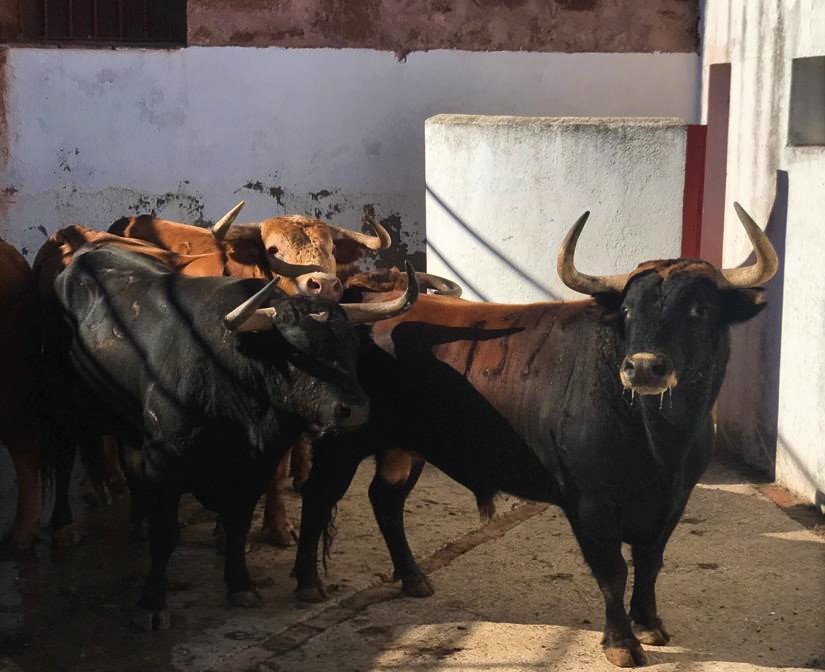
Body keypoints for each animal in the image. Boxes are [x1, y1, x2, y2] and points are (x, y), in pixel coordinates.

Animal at [38, 243, 418, 628]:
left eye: (352, 347)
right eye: (296, 350)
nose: (355, 410)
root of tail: (83, 255)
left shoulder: (255, 466)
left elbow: (239, 522)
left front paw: (240, 584)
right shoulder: (164, 461)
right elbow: (166, 534)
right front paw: (152, 604)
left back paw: (138, 520)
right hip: (61, 407)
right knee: (64, 459)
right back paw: (63, 528)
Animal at [290, 204, 777, 667]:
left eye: (699, 309)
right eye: (627, 310)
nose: (642, 368)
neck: (660, 443)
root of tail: (359, 304)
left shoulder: (674, 501)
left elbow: (651, 562)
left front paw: (650, 624)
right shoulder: (591, 503)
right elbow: (613, 570)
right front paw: (621, 642)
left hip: (403, 448)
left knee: (386, 501)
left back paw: (413, 578)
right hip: (341, 442)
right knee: (318, 496)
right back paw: (308, 584)